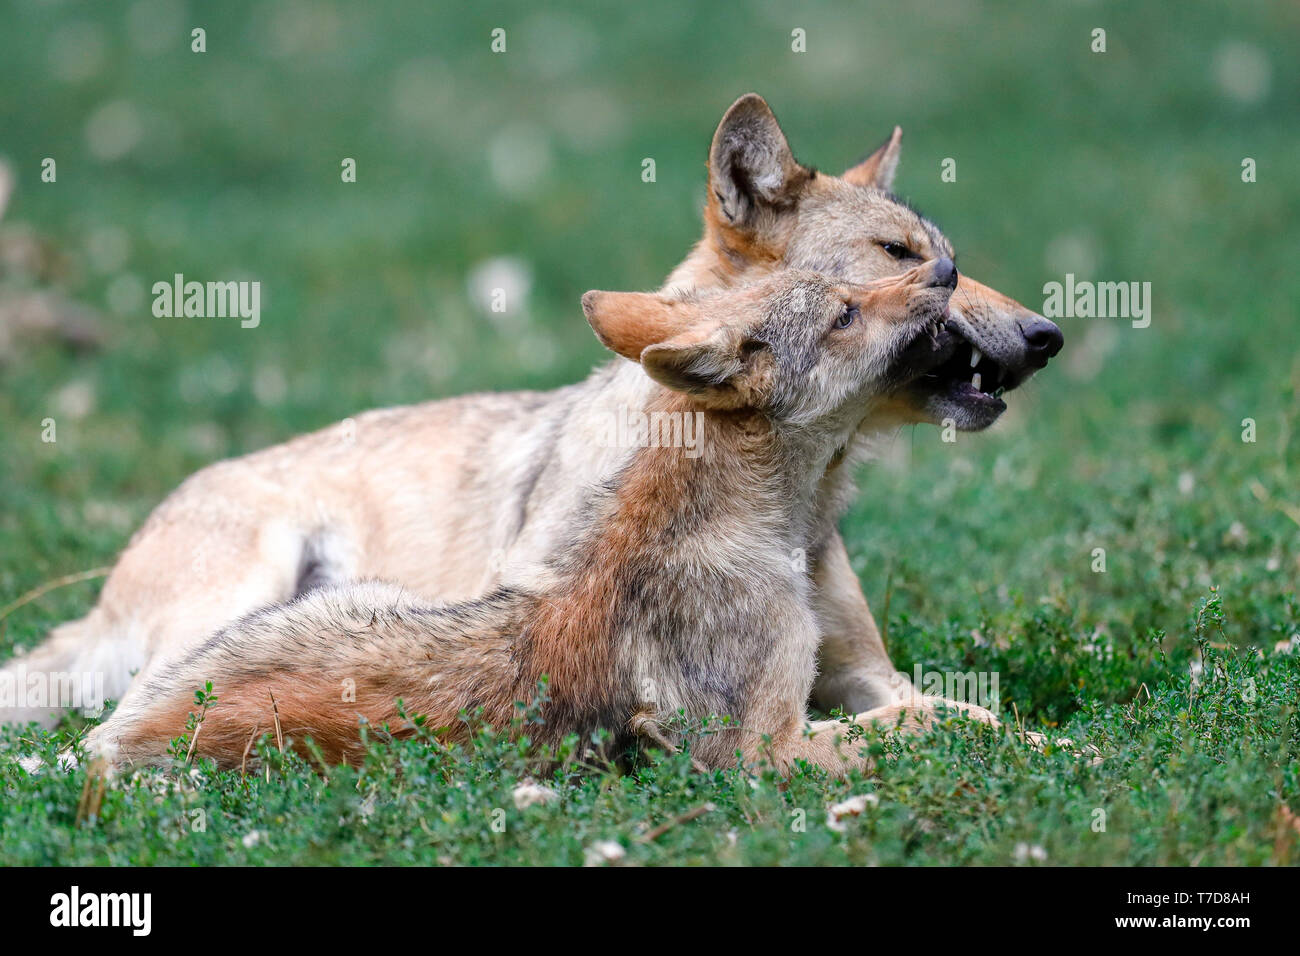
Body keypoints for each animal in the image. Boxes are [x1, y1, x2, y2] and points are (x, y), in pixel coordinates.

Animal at [0, 93, 1060, 728]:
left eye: (946, 255)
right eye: (898, 256)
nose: (1048, 333)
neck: (789, 501)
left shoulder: (875, 676)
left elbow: (985, 722)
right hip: (253, 596)